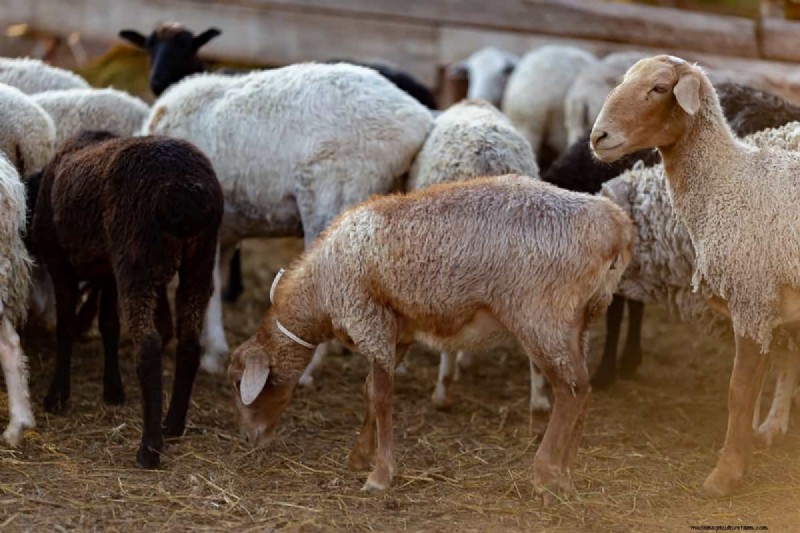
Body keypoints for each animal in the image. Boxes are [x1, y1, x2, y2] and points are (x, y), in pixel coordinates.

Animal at [29, 130, 223, 468]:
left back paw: (149, 449)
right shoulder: (107, 271)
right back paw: (173, 424)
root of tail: (186, 192)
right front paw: (113, 390)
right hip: (200, 259)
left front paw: (57, 396)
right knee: (189, 341)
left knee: (148, 345)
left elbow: (65, 327)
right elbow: (108, 325)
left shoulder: (61, 264)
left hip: (136, 259)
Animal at [228, 174, 633, 499]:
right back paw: (566, 473)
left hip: (543, 317)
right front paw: (359, 456)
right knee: (584, 389)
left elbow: (381, 398)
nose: (247, 439)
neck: (321, 291)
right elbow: (369, 393)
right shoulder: (397, 332)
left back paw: (546, 473)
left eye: (236, 383)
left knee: (571, 391)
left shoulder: (368, 319)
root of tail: (615, 224)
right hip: (582, 318)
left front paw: (380, 475)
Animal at [591, 54, 800, 498]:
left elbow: (739, 391)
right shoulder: (761, 304)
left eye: (658, 88)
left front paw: (726, 474)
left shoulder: (751, 297)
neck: (728, 180)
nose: (598, 136)